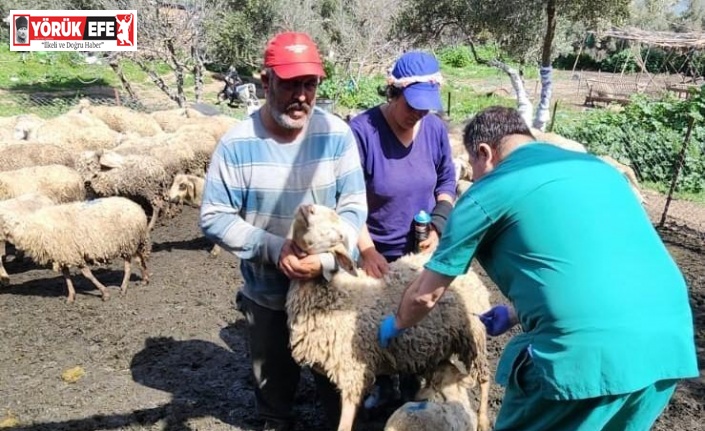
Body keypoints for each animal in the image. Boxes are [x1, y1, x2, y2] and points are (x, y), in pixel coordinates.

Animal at [2, 197, 151, 304]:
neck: (28, 229)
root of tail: (137, 207)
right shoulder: (63, 254)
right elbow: (66, 275)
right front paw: (71, 297)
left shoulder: (72, 253)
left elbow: (87, 274)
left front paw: (105, 293)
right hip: (134, 242)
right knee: (140, 259)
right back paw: (145, 280)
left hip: (128, 242)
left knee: (128, 266)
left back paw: (124, 288)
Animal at [286, 203, 490, 431]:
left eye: (337, 234)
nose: (307, 207)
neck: (337, 293)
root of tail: (469, 270)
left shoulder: (352, 370)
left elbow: (345, 423)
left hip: (474, 335)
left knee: (484, 378)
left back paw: (483, 419)